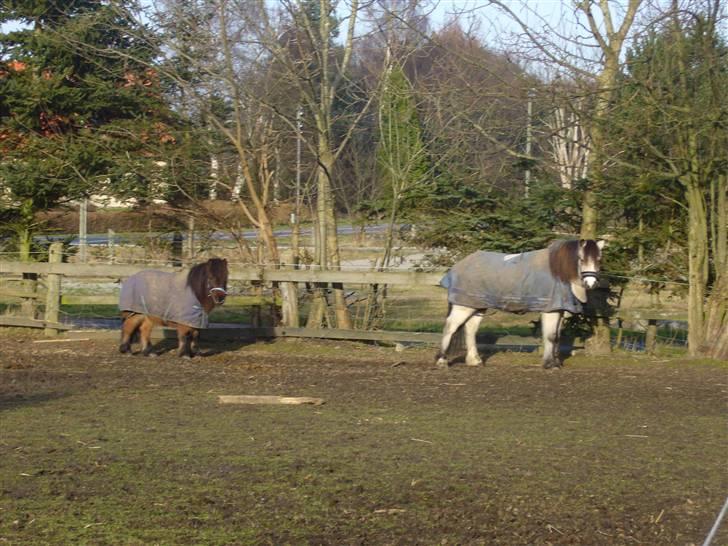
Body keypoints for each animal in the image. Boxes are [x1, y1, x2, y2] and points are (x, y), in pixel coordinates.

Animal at [436, 239, 604, 369]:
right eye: (581, 259)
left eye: (599, 259)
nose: (591, 283)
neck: (559, 271)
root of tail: (458, 266)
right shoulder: (550, 310)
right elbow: (550, 337)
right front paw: (550, 365)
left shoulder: (560, 310)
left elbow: (556, 337)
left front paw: (555, 362)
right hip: (463, 306)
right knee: (450, 328)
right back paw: (442, 361)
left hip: (477, 306)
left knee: (470, 329)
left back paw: (474, 361)